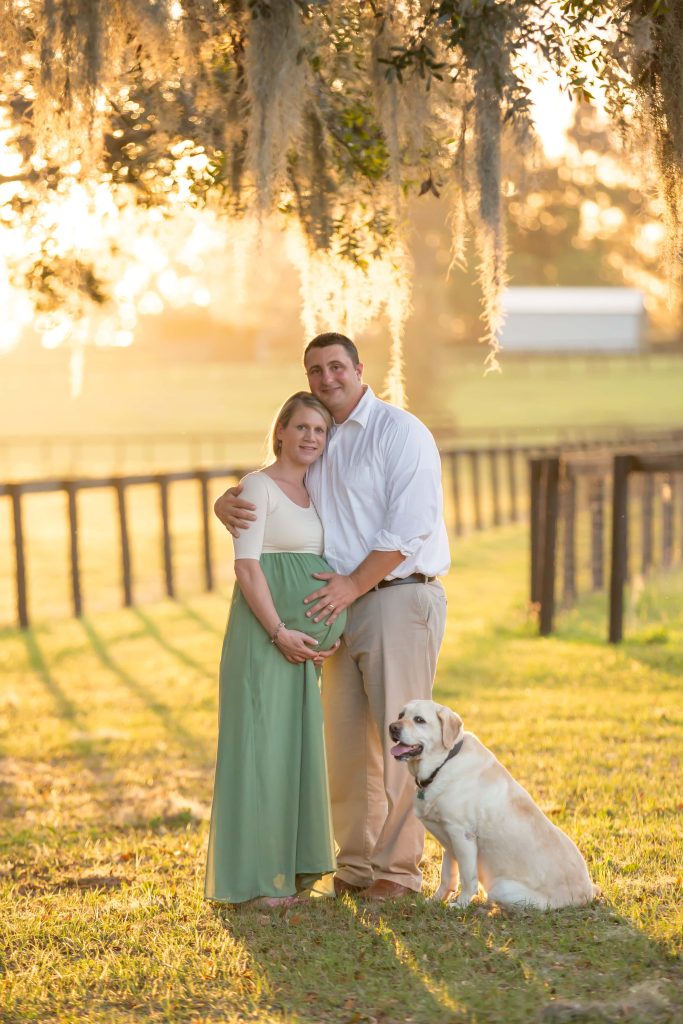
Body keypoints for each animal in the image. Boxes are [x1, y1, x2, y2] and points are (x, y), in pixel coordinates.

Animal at [393, 700, 593, 909]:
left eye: (419, 720)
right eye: (400, 715)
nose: (392, 728)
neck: (443, 763)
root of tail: (586, 894)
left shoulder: (462, 835)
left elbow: (467, 878)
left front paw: (460, 905)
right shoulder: (448, 840)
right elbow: (447, 876)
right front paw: (435, 901)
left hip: (500, 888)